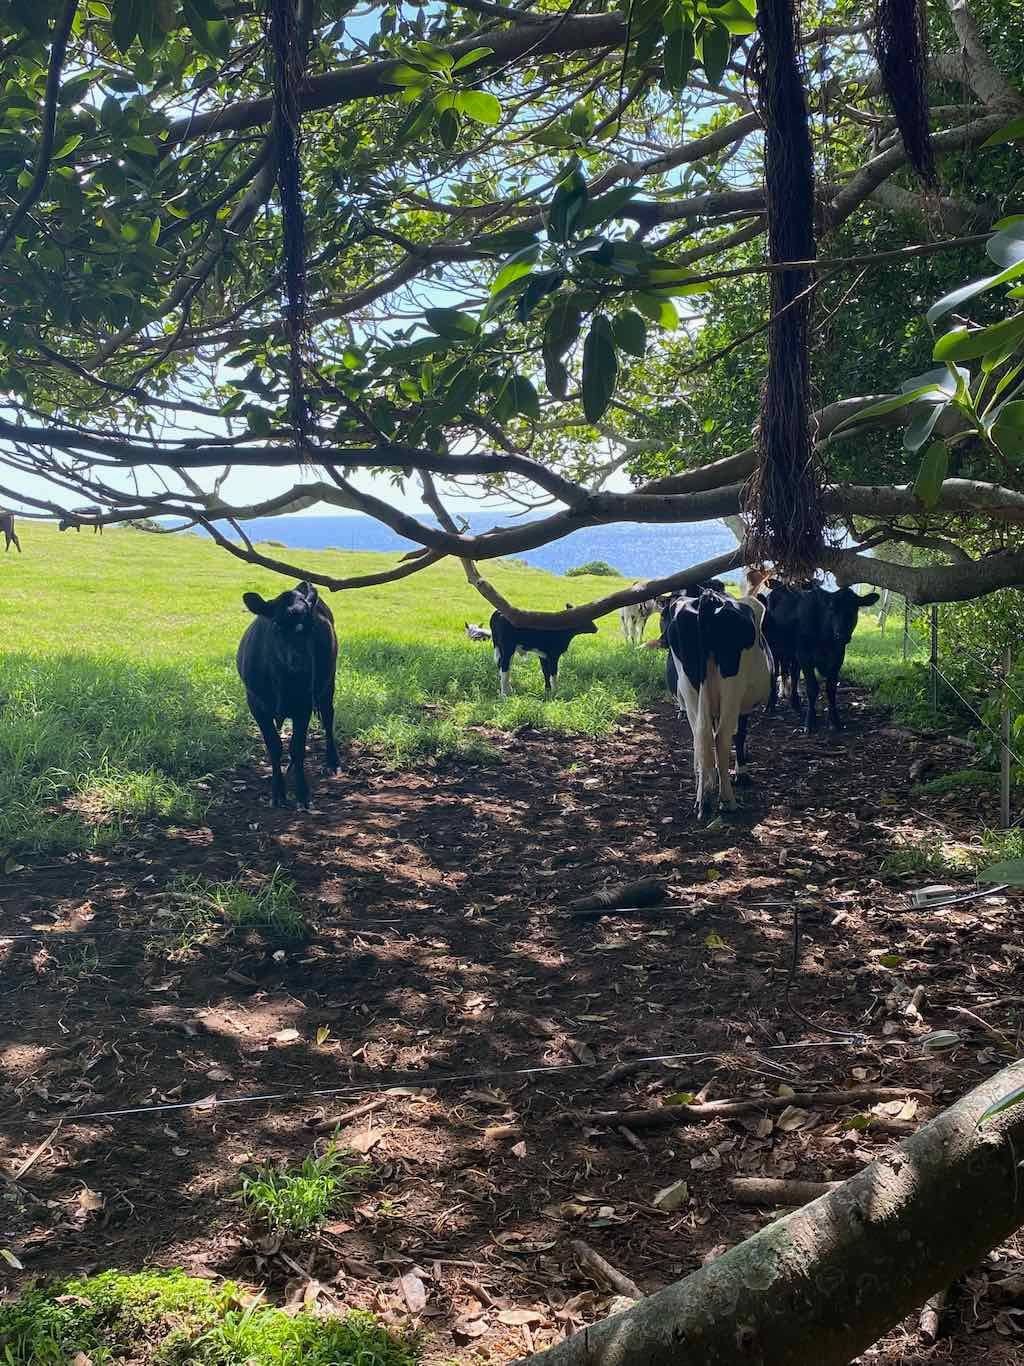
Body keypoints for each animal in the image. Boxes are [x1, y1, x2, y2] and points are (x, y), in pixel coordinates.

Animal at [236, 579, 341, 808]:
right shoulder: (256, 705)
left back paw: (332, 762)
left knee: (328, 717)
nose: (300, 663)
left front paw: (302, 794)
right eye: (276, 625)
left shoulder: (304, 704)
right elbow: (274, 746)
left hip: (328, 682)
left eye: (311, 627)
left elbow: (297, 747)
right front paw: (277, 793)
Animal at [666, 573, 770, 814]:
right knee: (721, 737)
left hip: (691, 687)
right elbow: (739, 735)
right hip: (732, 686)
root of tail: (709, 599)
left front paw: (707, 780)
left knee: (701, 735)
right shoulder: (744, 706)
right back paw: (727, 800)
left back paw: (702, 799)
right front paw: (741, 773)